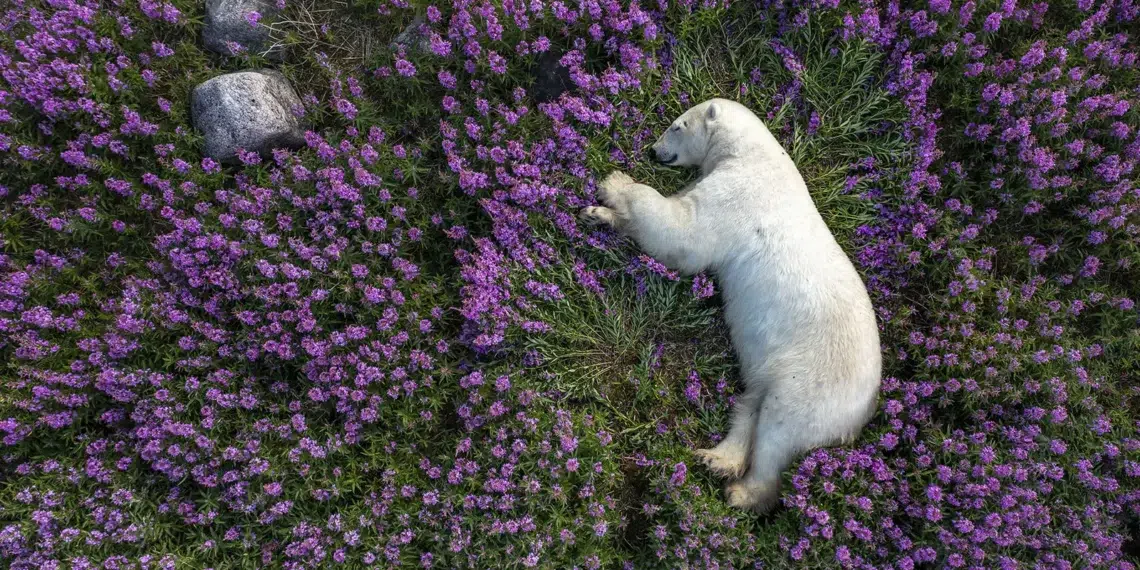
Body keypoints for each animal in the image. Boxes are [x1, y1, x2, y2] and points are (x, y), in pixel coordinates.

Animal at [579, 98, 882, 513]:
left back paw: (743, 492)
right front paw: (598, 213)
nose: (653, 151)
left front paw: (614, 183)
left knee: (779, 428)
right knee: (751, 404)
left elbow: (683, 232)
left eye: (677, 125)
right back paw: (716, 458)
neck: (751, 153)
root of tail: (865, 411)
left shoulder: (737, 194)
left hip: (814, 382)